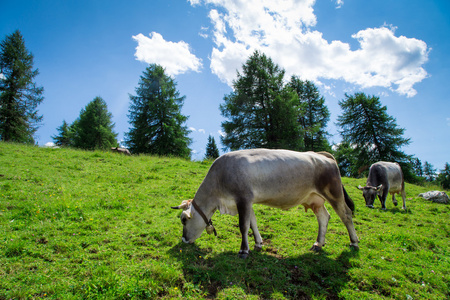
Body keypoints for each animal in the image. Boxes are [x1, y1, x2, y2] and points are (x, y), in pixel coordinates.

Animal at [171, 149, 358, 256]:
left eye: (183, 220)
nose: (183, 240)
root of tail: (320, 155)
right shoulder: (248, 202)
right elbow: (253, 223)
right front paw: (258, 244)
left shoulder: (243, 198)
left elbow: (243, 226)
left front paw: (243, 250)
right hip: (314, 198)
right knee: (324, 217)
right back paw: (318, 243)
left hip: (334, 193)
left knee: (346, 215)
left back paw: (354, 242)